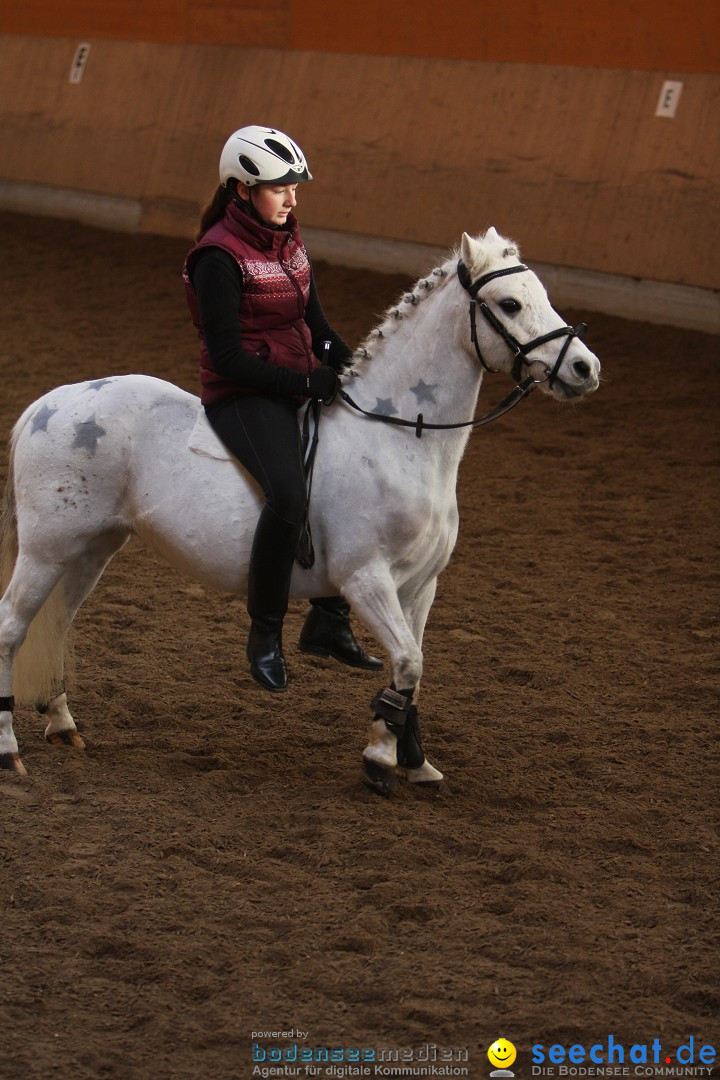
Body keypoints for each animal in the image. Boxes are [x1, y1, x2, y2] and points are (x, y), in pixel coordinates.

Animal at [0, 227, 604, 790]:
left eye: (542, 294)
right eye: (509, 304)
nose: (584, 368)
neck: (400, 437)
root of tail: (46, 405)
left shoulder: (419, 587)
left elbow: (413, 666)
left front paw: (413, 760)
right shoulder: (367, 580)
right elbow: (408, 662)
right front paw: (380, 759)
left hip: (91, 550)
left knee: (56, 624)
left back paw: (61, 724)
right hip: (47, 550)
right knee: (12, 627)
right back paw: (10, 752)